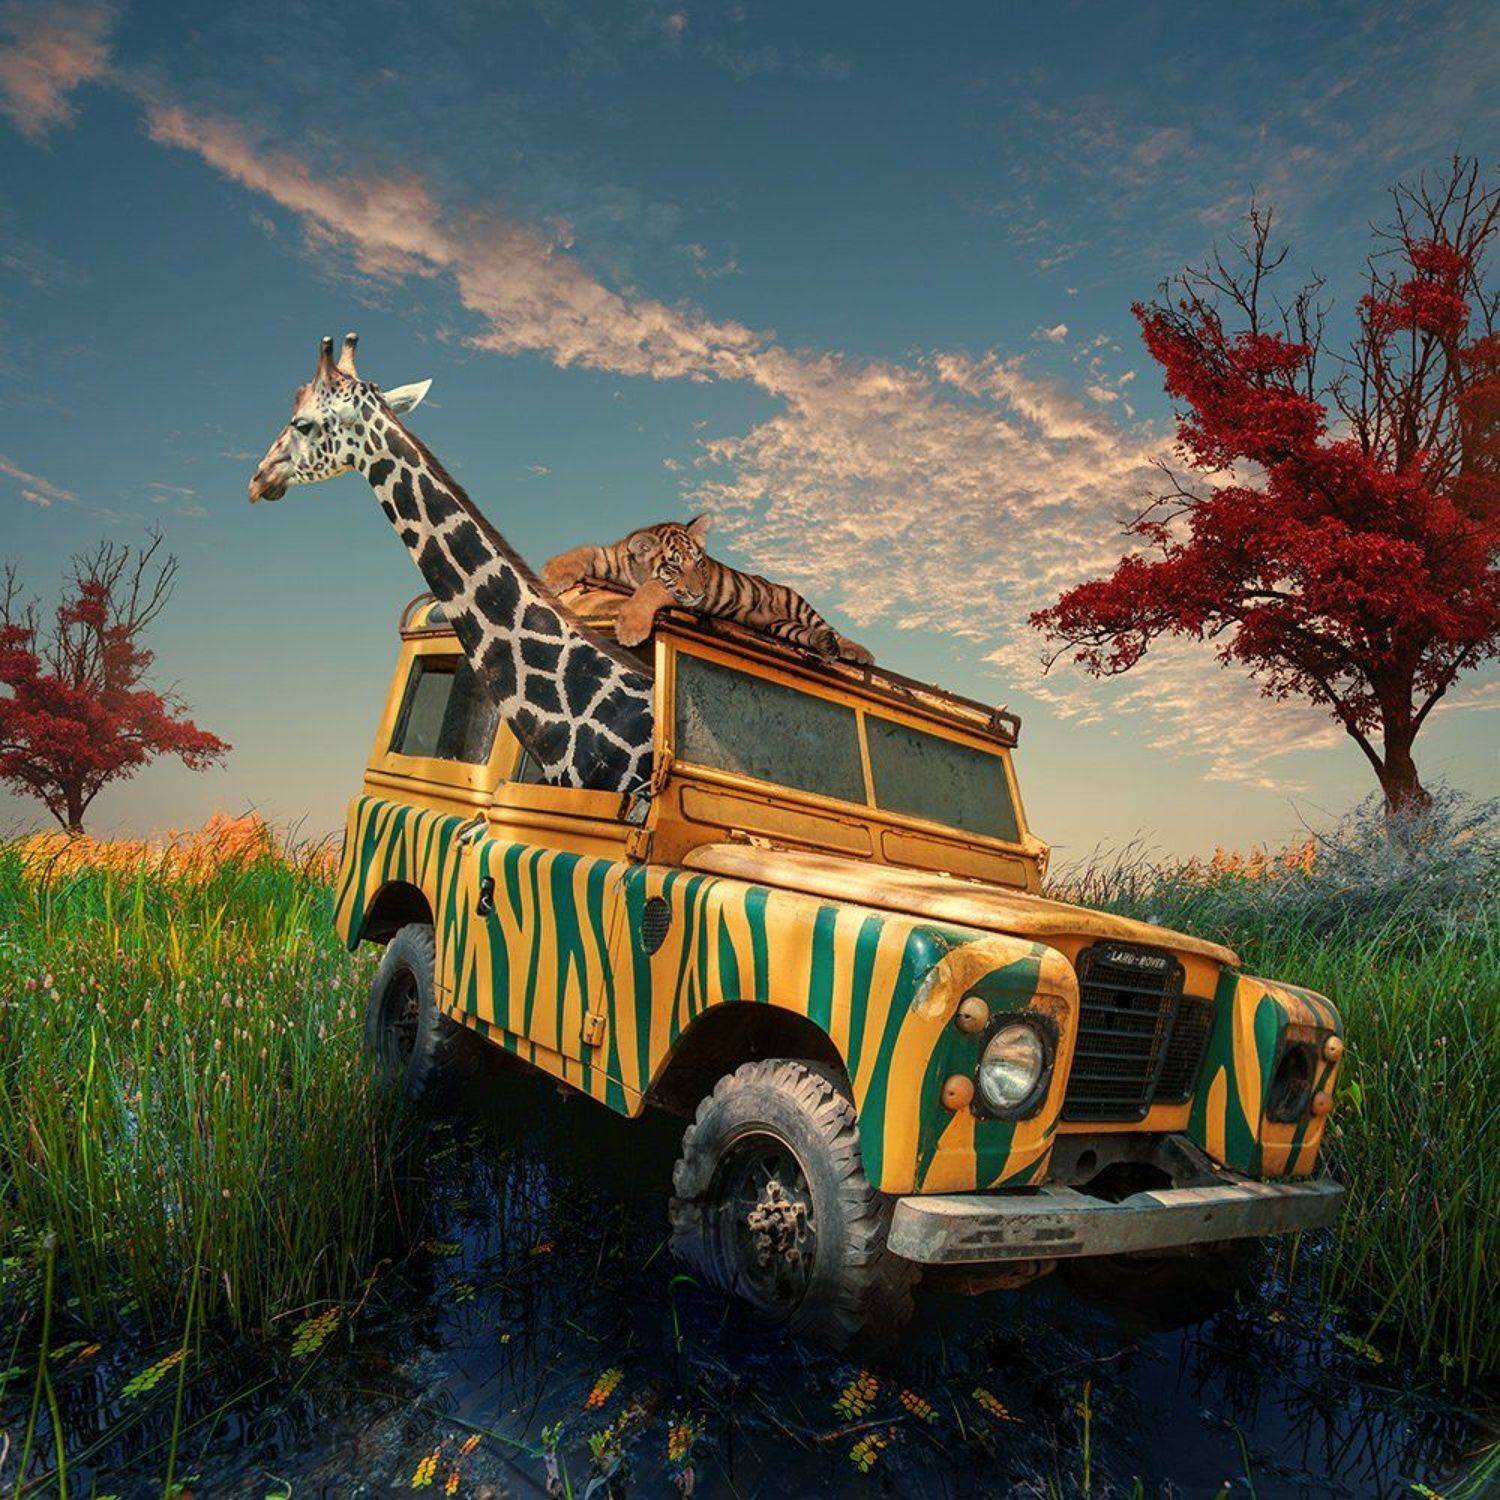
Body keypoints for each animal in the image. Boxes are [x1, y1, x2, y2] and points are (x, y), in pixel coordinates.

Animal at [541, 514, 875, 664]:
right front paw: (552, 574)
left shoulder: (677, 595)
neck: (634, 573)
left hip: (794, 602)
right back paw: (825, 646)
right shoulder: (609, 556)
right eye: (674, 566)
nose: (700, 592)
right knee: (809, 634)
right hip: (780, 626)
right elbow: (583, 550)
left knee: (829, 627)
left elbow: (652, 590)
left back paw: (859, 652)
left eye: (700, 563)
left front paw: (631, 628)